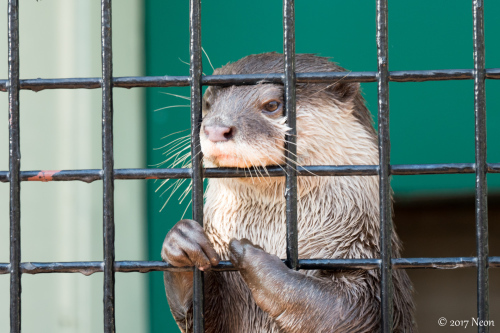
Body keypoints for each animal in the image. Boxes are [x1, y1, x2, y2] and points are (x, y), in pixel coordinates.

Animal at [160, 52, 414, 332]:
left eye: (272, 105)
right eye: (207, 103)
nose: (215, 128)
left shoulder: (367, 262)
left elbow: (344, 310)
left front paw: (251, 255)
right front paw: (181, 243)